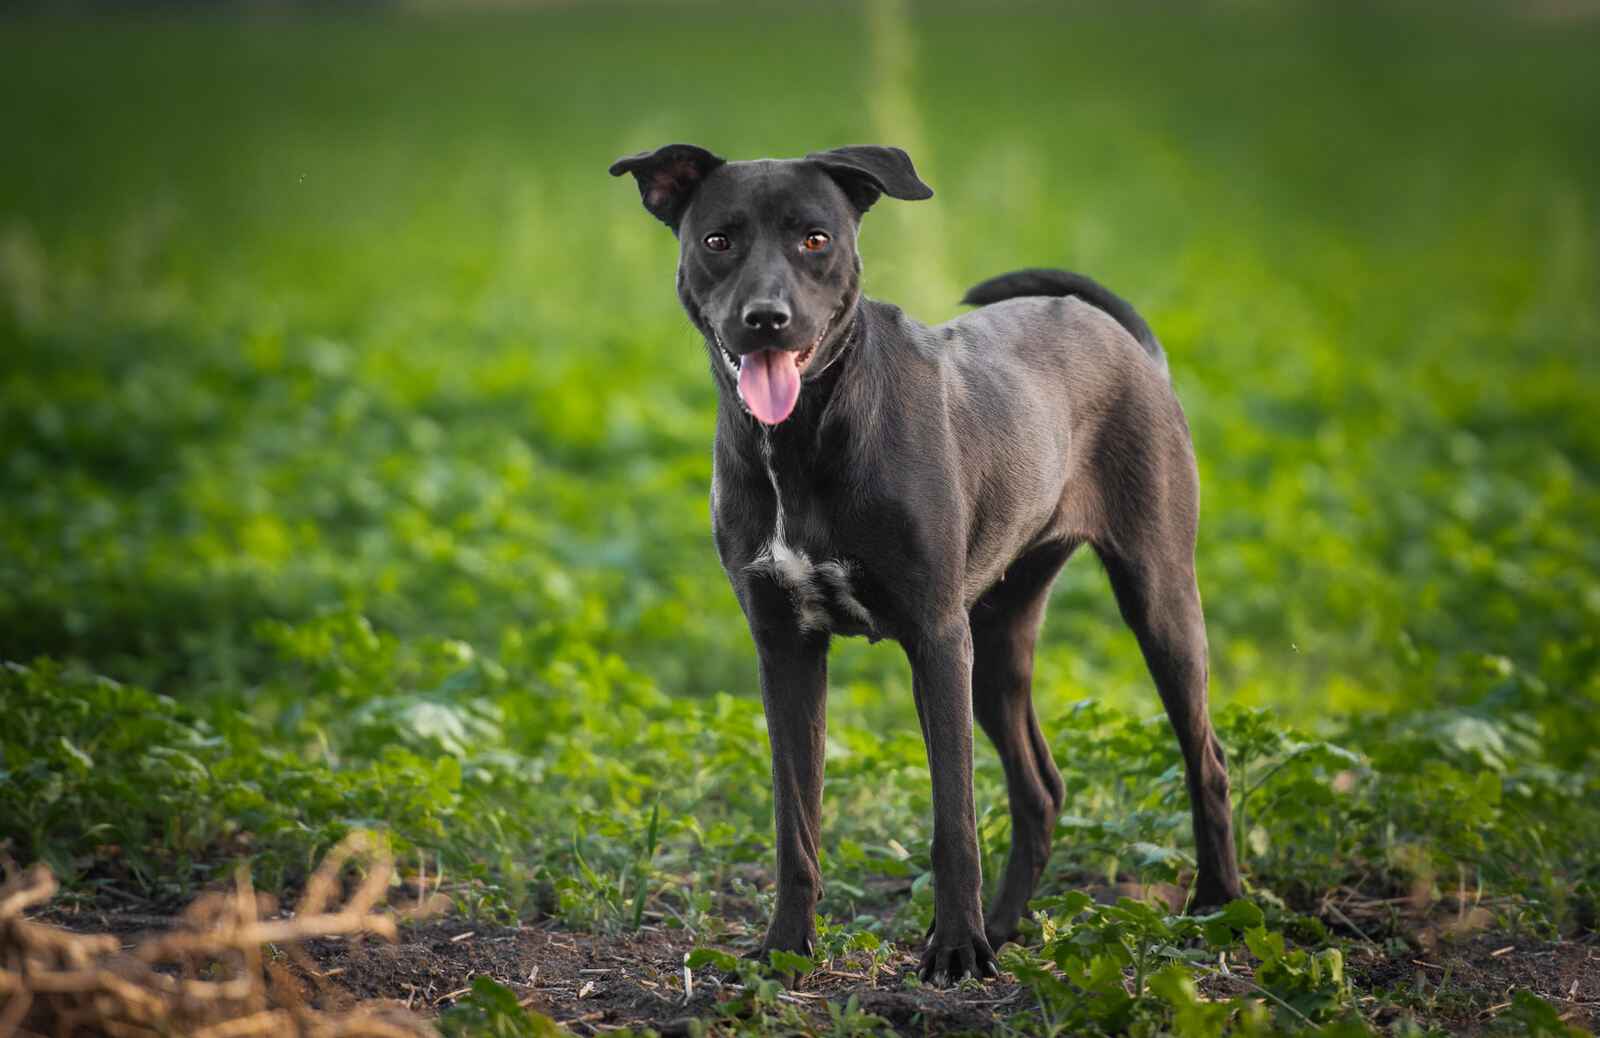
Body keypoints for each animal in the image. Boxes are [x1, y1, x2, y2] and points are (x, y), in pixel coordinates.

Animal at [604, 143, 1241, 978]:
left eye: (815, 238)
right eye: (719, 240)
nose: (766, 320)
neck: (808, 435)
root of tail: (1131, 343)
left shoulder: (935, 640)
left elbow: (953, 822)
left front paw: (956, 950)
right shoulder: (785, 648)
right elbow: (794, 823)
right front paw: (786, 946)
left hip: (1155, 598)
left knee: (1208, 760)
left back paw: (1217, 906)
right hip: (997, 639)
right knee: (1041, 789)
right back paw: (1005, 925)